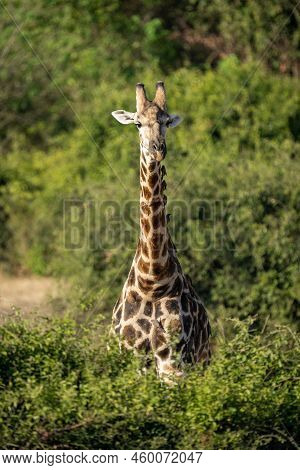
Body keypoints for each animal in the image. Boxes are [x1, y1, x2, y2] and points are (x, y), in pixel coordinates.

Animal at [110, 82, 211, 380]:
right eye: (137, 123)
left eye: (166, 122)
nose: (157, 149)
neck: (153, 279)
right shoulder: (132, 359)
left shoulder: (173, 363)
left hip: (203, 362)